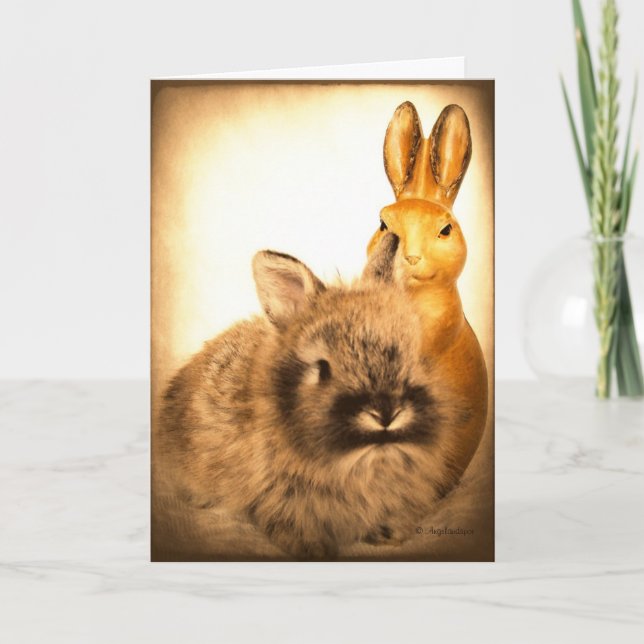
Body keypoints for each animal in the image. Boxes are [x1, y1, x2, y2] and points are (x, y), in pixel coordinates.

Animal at [156, 233, 465, 560]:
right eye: (322, 368)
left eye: (416, 357)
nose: (386, 413)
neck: (365, 461)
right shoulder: (278, 494)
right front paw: (313, 549)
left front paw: (389, 534)